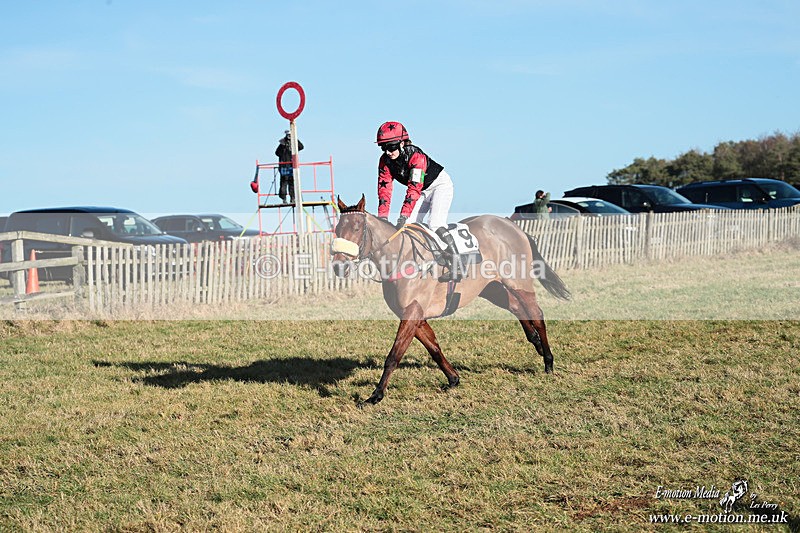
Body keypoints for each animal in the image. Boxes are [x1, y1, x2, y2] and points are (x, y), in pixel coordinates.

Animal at [331, 195, 571, 406]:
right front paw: (453, 378)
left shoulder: (412, 312)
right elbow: (434, 348)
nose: (339, 266)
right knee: (515, 307)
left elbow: (394, 355)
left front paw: (375, 395)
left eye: (356, 228)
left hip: (519, 282)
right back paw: (536, 342)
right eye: (337, 229)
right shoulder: (414, 315)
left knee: (536, 313)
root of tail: (513, 226)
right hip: (491, 288)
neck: (402, 257)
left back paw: (548, 361)